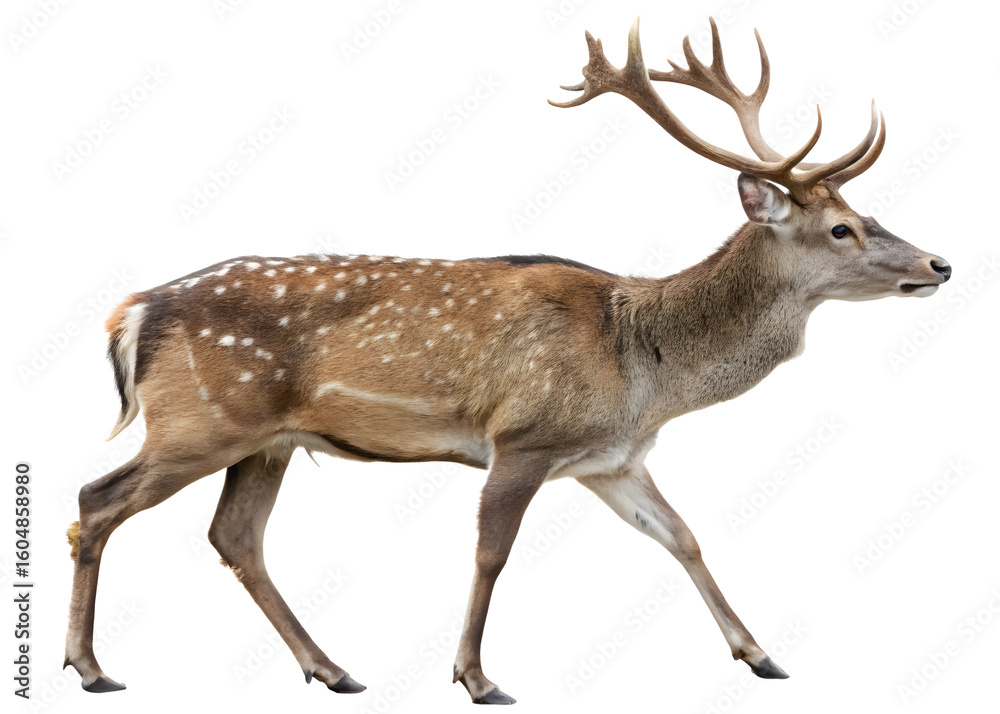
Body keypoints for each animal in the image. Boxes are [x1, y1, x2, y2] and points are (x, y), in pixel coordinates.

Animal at [64, 17, 951, 705]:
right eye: (841, 229)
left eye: (865, 212)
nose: (940, 264)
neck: (646, 372)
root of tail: (131, 311)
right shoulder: (523, 437)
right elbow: (492, 552)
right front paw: (478, 677)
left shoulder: (611, 460)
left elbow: (683, 537)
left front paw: (762, 654)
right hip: (203, 419)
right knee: (96, 499)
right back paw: (92, 667)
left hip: (267, 441)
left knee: (234, 536)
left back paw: (334, 669)